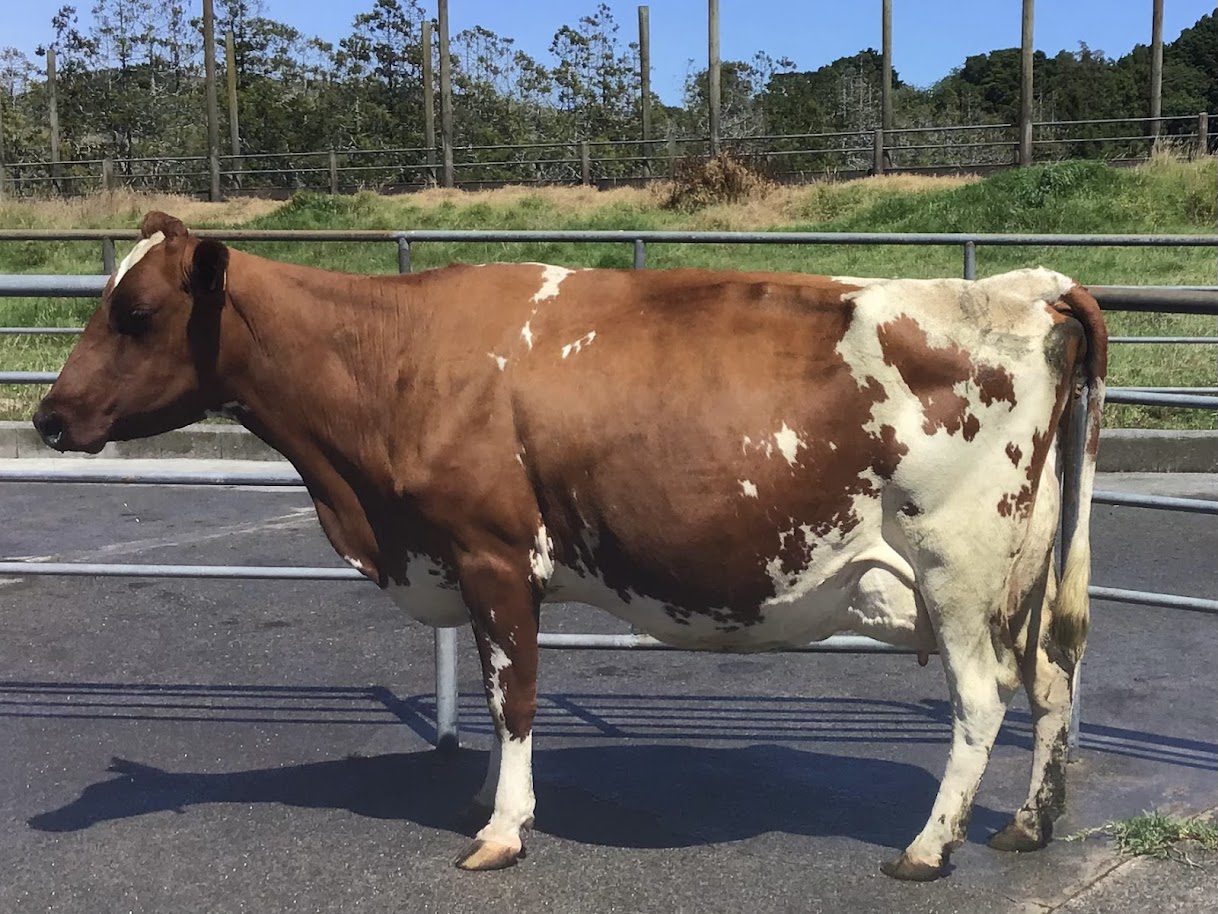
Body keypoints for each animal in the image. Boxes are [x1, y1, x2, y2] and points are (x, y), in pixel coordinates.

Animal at [33, 212, 1106, 880]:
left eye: (135, 312)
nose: (45, 415)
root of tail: (1027, 286)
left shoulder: (494, 554)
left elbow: (514, 696)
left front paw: (503, 828)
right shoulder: (467, 567)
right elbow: (493, 686)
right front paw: (488, 799)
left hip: (957, 570)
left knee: (982, 702)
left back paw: (929, 847)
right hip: (1020, 579)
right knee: (1054, 678)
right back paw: (1028, 823)